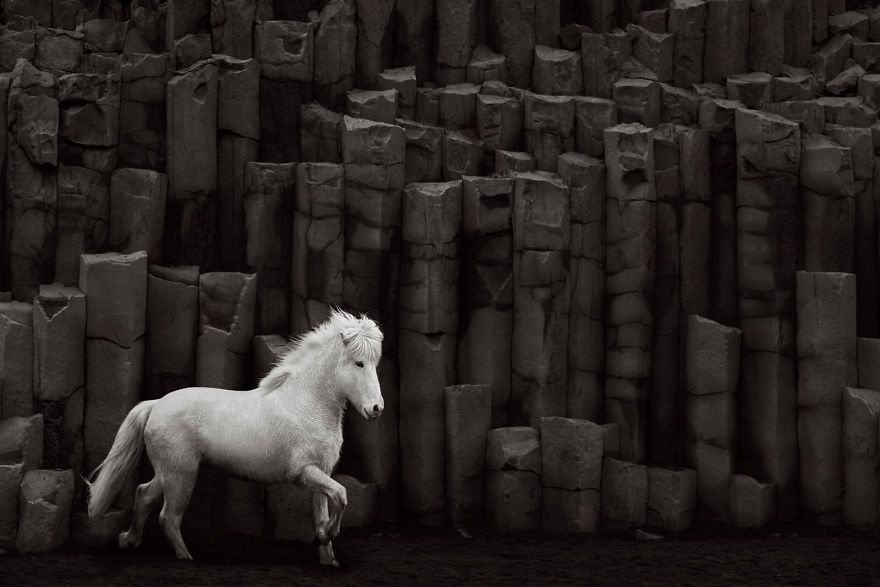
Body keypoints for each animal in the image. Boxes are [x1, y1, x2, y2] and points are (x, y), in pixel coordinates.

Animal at [86, 309, 384, 566]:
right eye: (359, 363)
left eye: (374, 364)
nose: (376, 409)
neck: (304, 406)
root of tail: (156, 404)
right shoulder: (304, 472)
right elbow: (342, 495)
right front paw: (325, 536)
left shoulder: (320, 476)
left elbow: (326, 509)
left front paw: (327, 554)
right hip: (182, 474)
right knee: (168, 517)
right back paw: (186, 558)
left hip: (170, 471)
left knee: (144, 494)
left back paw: (129, 540)